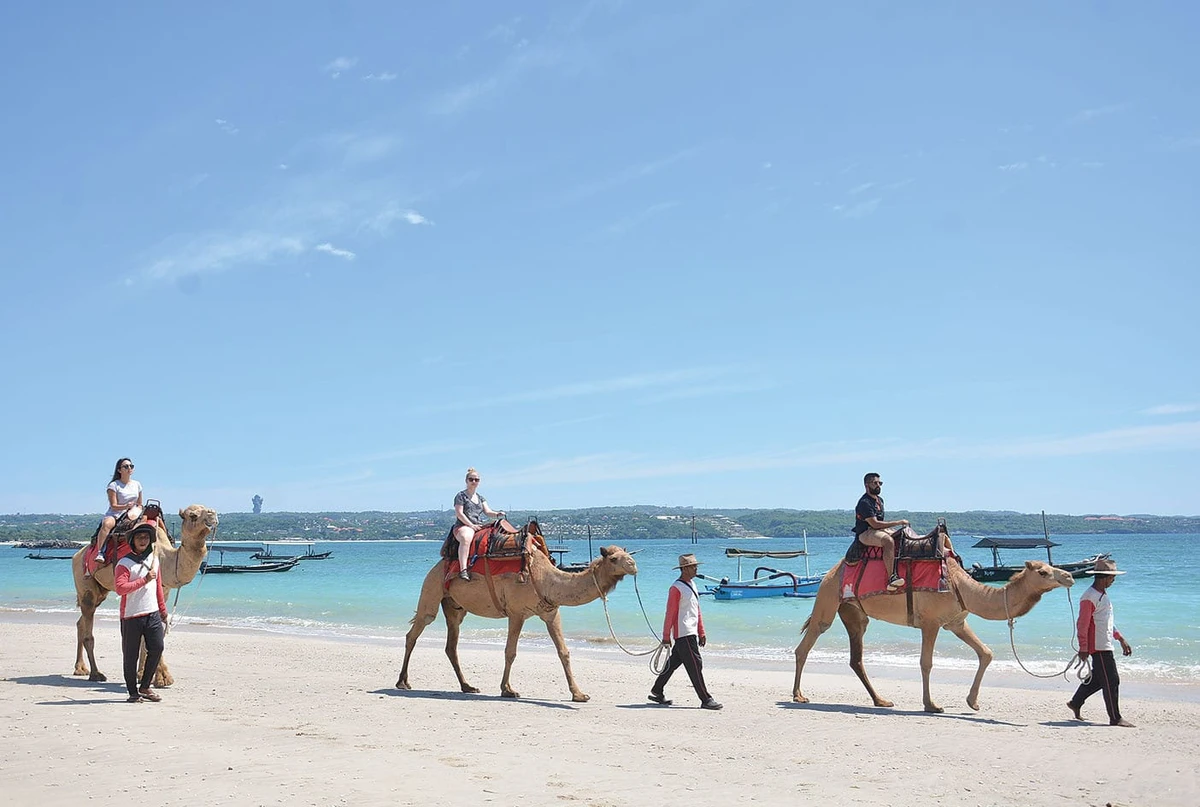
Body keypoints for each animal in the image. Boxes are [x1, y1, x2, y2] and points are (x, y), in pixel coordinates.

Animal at [72, 504, 218, 687]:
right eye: (192, 515)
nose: (213, 515)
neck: (164, 558)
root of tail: (76, 555)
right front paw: (163, 678)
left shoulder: (163, 593)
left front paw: (142, 675)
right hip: (85, 584)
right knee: (88, 625)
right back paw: (96, 674)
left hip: (101, 591)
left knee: (80, 622)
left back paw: (80, 669)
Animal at [396, 544, 638, 702]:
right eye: (614, 558)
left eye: (627, 554)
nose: (633, 565)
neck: (545, 579)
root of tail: (437, 565)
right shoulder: (516, 613)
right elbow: (510, 652)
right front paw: (507, 690)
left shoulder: (551, 612)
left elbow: (564, 651)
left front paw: (579, 694)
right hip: (432, 588)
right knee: (415, 631)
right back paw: (402, 682)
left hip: (455, 606)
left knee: (451, 645)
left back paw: (468, 686)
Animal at [792, 558, 1074, 713]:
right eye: (1043, 572)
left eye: (1052, 566)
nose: (1070, 576)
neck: (963, 587)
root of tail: (830, 571)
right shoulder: (931, 623)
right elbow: (926, 663)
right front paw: (931, 704)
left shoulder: (956, 622)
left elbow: (986, 653)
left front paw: (973, 702)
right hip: (828, 598)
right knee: (808, 641)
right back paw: (798, 695)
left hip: (853, 612)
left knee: (856, 657)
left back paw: (881, 700)